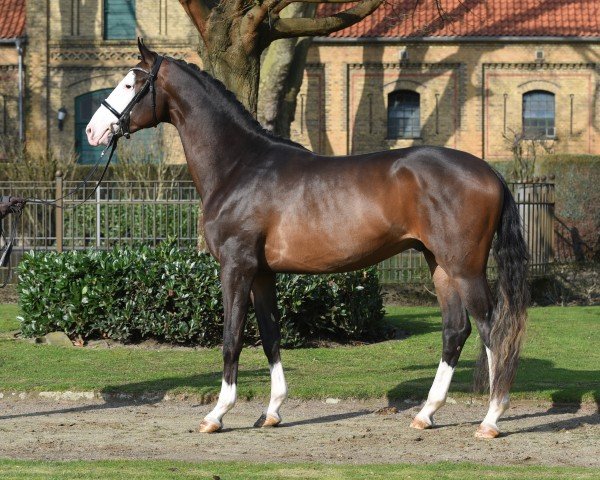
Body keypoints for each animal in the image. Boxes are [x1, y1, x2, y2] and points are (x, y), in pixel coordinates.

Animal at [85, 41, 528, 438]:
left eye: (130, 84)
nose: (93, 130)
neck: (240, 166)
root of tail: (490, 172)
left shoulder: (235, 267)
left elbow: (231, 338)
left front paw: (217, 414)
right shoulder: (262, 273)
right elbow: (270, 334)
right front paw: (272, 411)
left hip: (464, 268)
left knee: (491, 328)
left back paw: (491, 419)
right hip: (439, 265)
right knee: (456, 330)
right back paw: (426, 413)